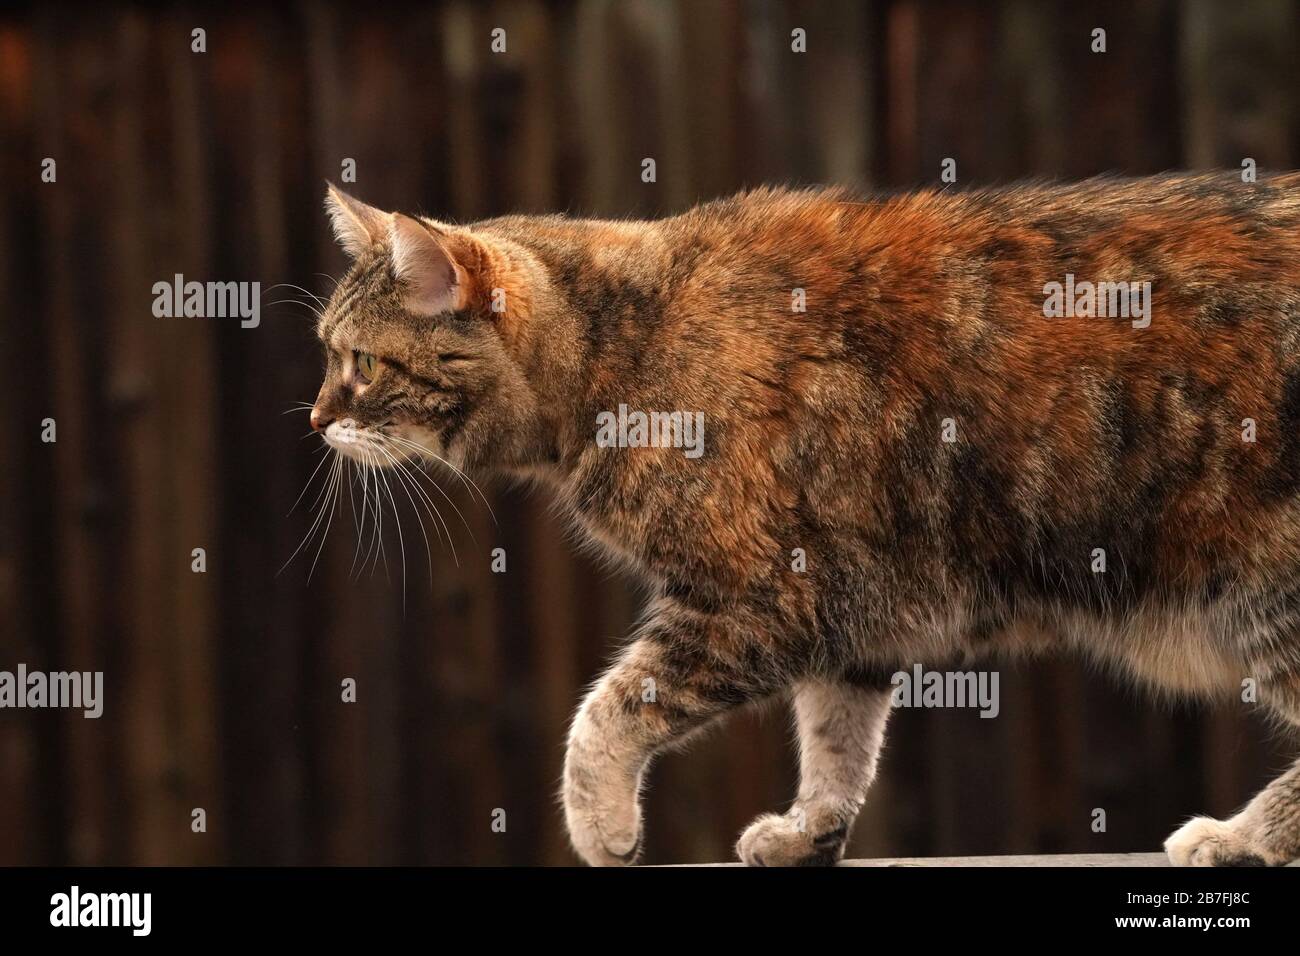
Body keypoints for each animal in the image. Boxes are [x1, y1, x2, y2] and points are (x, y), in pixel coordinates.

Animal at [312, 171, 1300, 868]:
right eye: (327, 353)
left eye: (361, 362)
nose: (315, 418)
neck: (623, 345)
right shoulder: (846, 600)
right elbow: (836, 736)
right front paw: (809, 829)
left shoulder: (751, 600)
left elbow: (605, 714)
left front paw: (600, 824)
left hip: (1270, 583)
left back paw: (1245, 835)